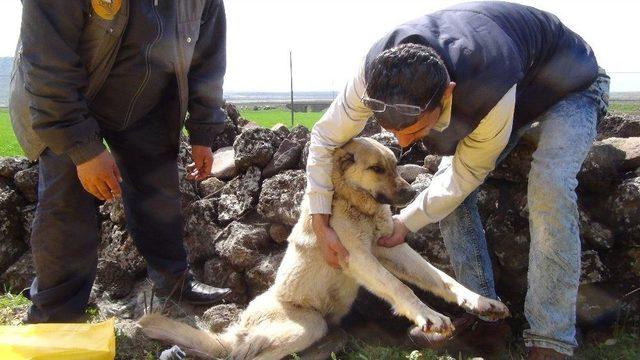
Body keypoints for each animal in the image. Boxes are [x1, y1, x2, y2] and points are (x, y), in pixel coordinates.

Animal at [140, 138, 510, 360]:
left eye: (394, 166)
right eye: (377, 169)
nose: (411, 195)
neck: (353, 202)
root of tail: (240, 326)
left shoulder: (390, 249)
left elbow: (439, 279)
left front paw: (479, 301)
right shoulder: (358, 257)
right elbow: (399, 288)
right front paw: (429, 316)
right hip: (307, 324)